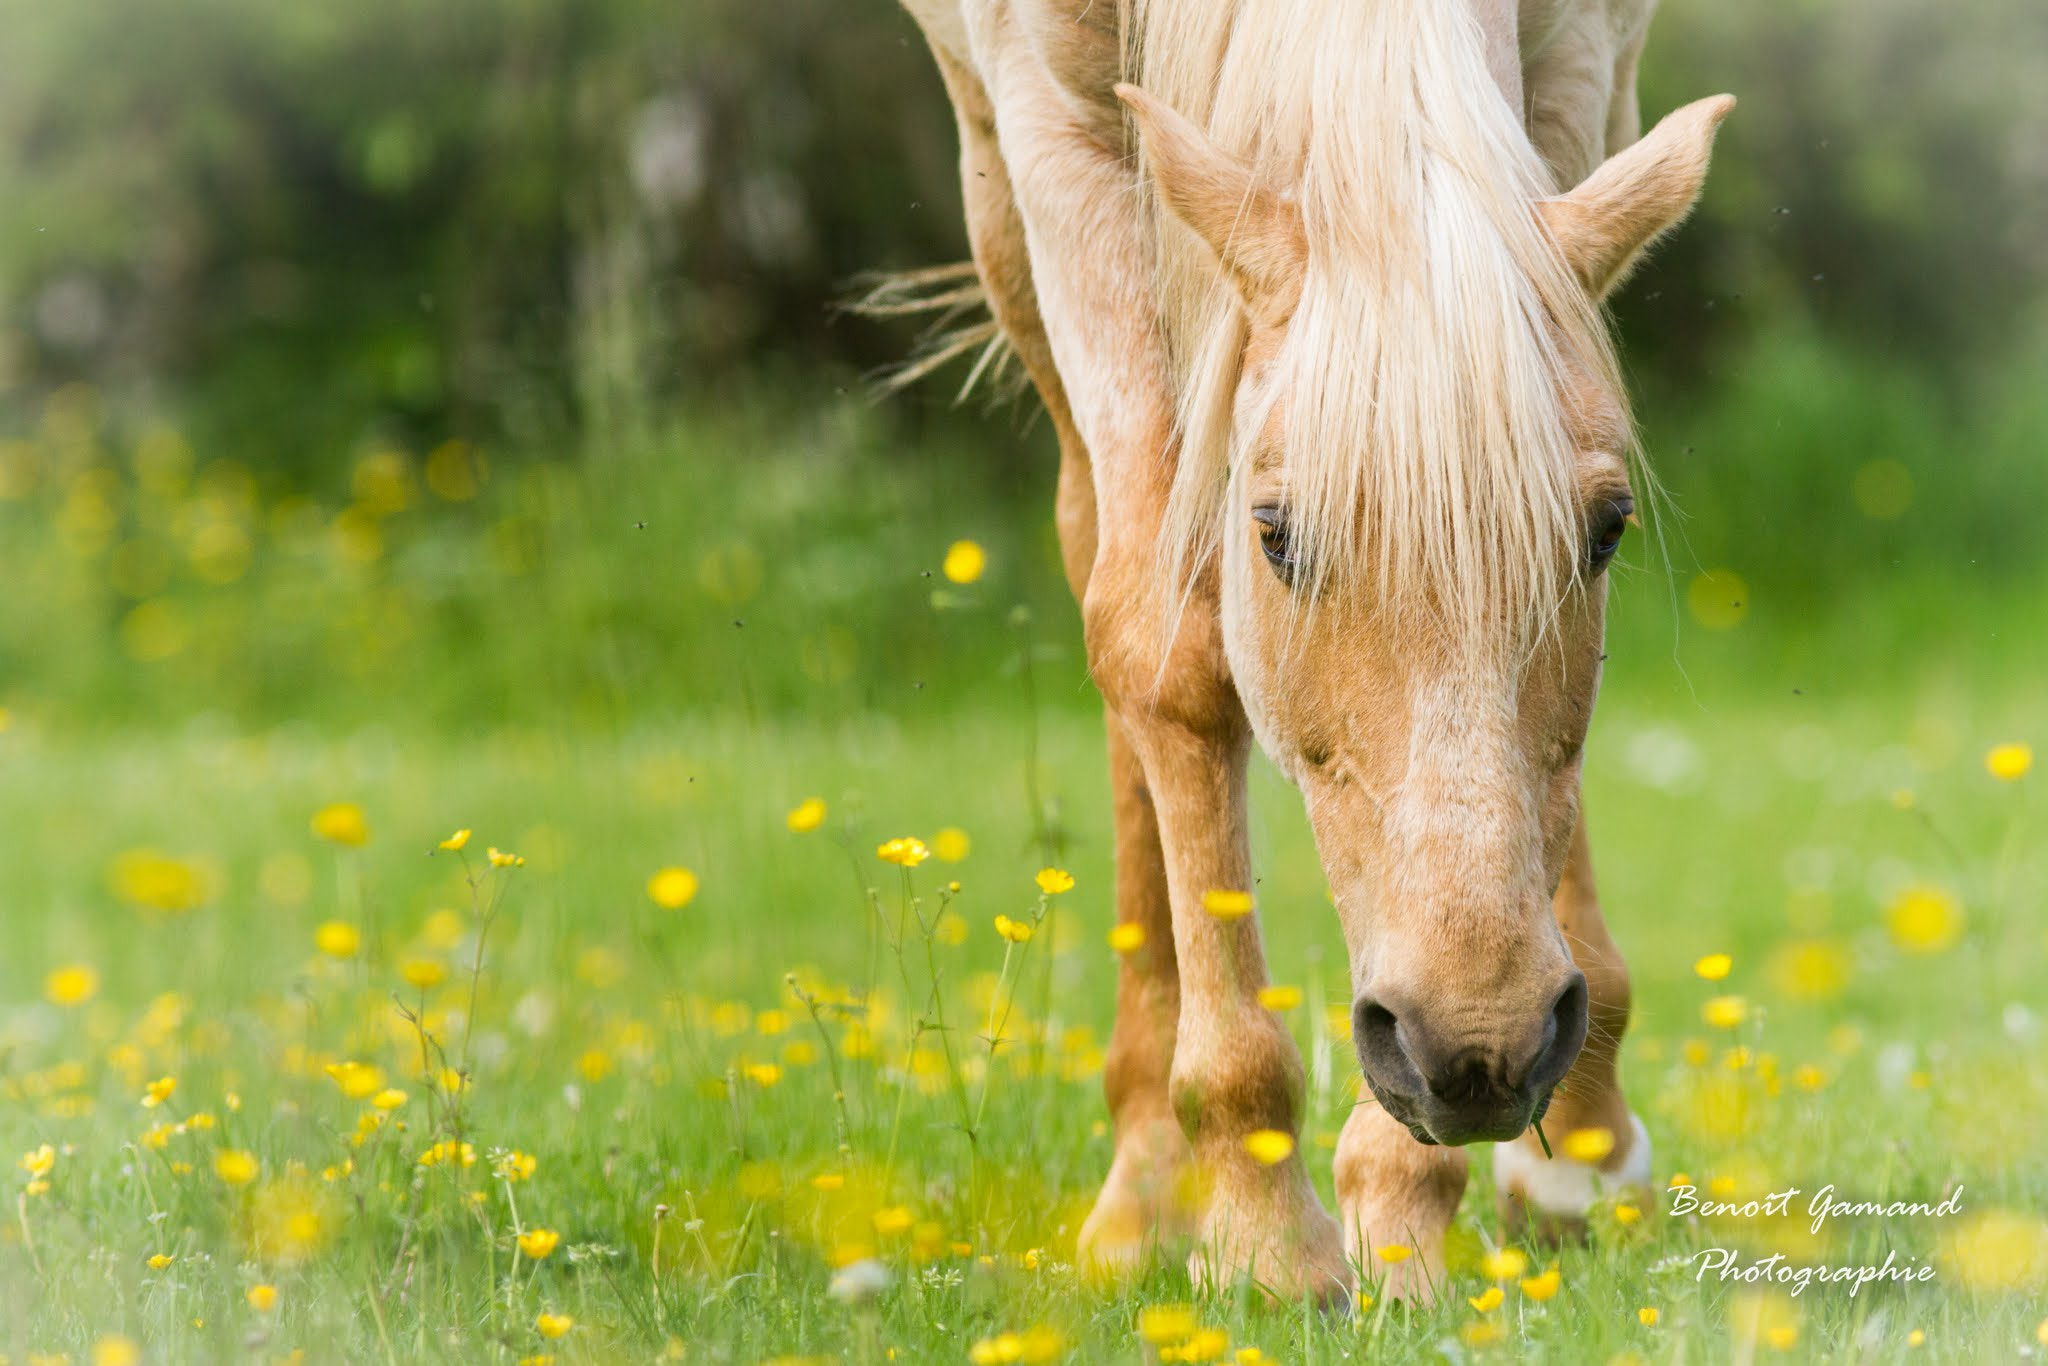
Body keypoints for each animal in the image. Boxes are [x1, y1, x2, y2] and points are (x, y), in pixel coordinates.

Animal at [887, 0, 1731, 1301]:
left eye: (1605, 529)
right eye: (1275, 534)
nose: (1476, 1045)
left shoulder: (1579, 64)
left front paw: (1399, 1206)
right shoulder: (1045, 117)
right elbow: (1164, 649)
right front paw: (1258, 1228)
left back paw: (1576, 1155)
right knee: (1101, 549)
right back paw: (1146, 1187)